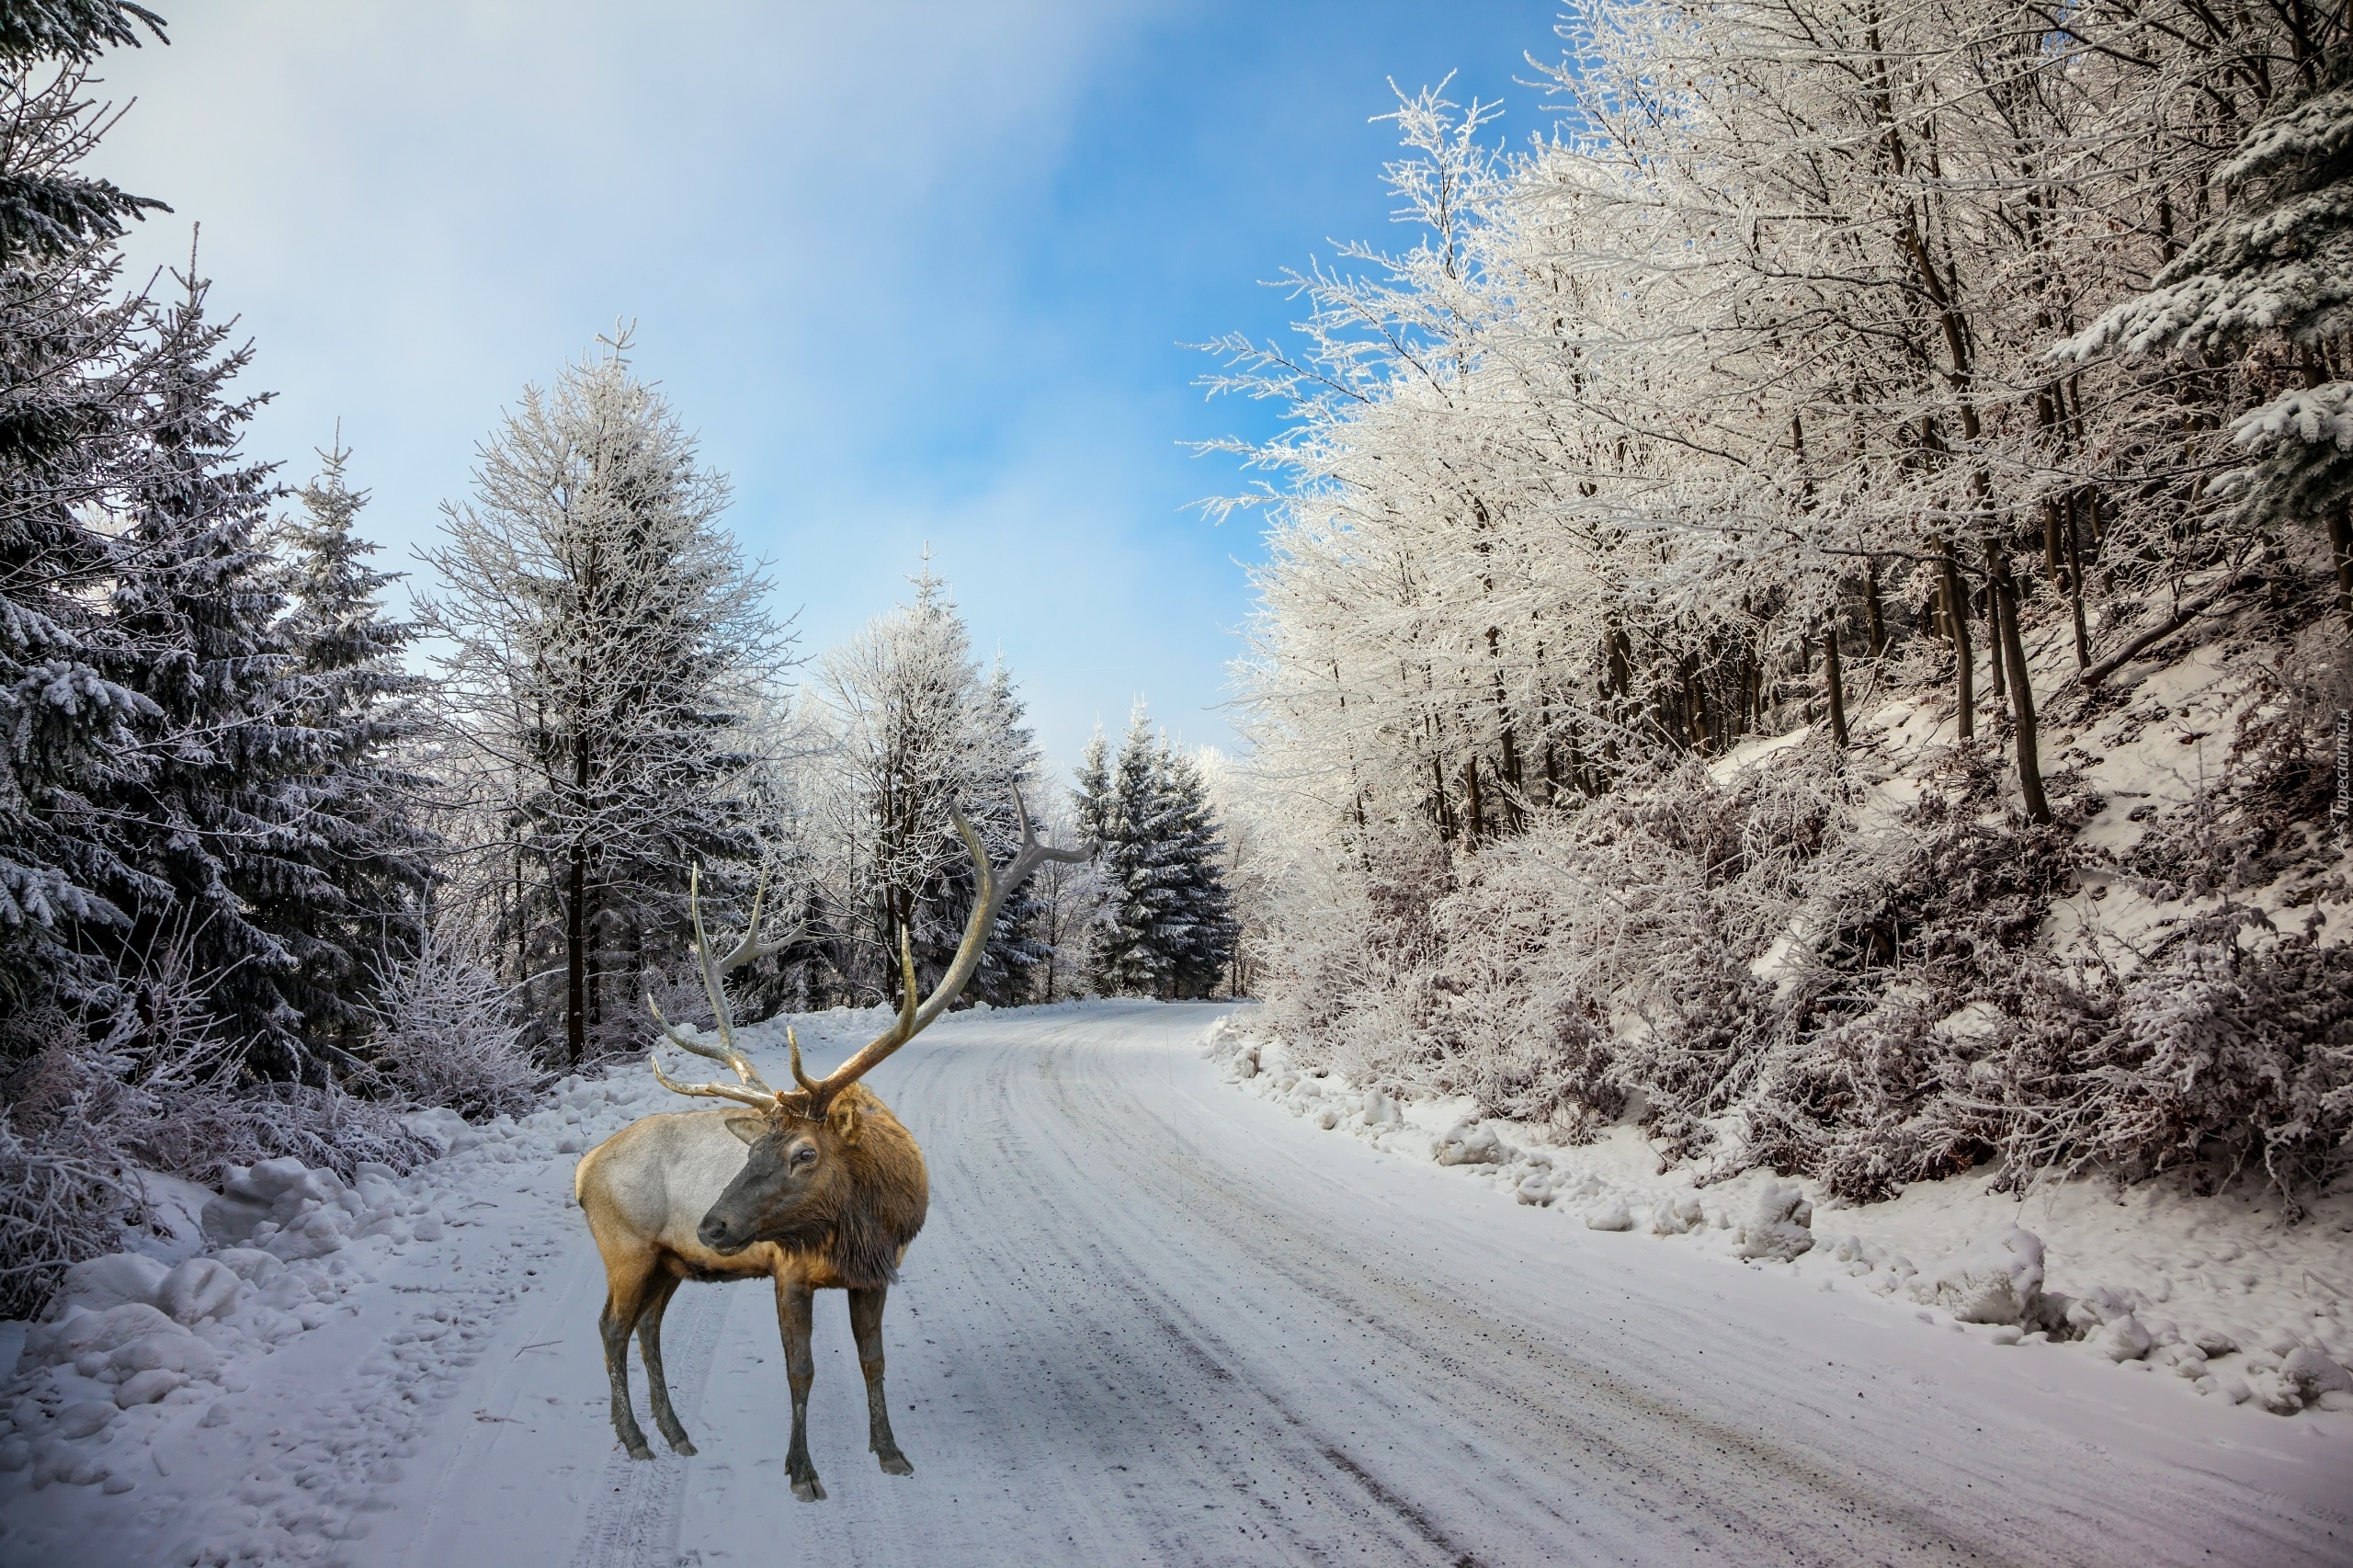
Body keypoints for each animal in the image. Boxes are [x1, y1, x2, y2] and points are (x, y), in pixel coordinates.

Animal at [569, 800, 1082, 1497]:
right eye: (754, 1150)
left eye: (805, 1153)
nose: (713, 1224)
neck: (858, 1225)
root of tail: (582, 1171)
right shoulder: (788, 1269)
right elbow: (801, 1370)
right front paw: (802, 1471)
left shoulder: (877, 1272)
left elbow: (873, 1361)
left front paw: (890, 1451)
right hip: (627, 1247)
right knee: (610, 1328)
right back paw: (635, 1439)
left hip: (669, 1261)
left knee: (646, 1328)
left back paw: (676, 1434)